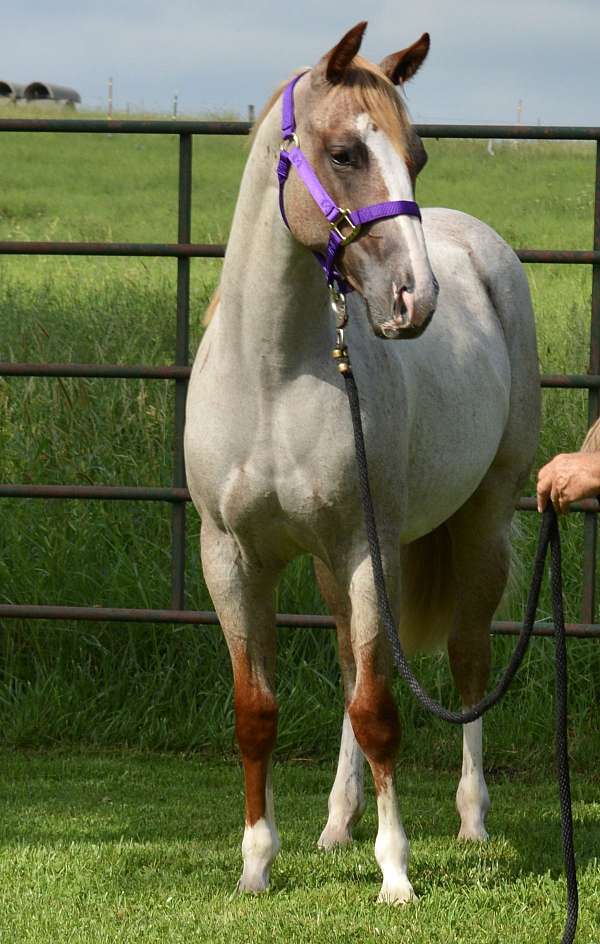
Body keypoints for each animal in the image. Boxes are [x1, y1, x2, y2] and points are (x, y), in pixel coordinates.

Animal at [183, 22, 540, 904]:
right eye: (344, 152)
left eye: (417, 154)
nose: (414, 299)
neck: (273, 374)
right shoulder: (232, 558)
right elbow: (258, 711)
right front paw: (256, 866)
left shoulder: (363, 548)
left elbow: (380, 710)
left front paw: (397, 873)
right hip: (333, 567)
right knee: (352, 662)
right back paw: (336, 825)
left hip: (481, 524)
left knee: (469, 660)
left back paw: (472, 822)